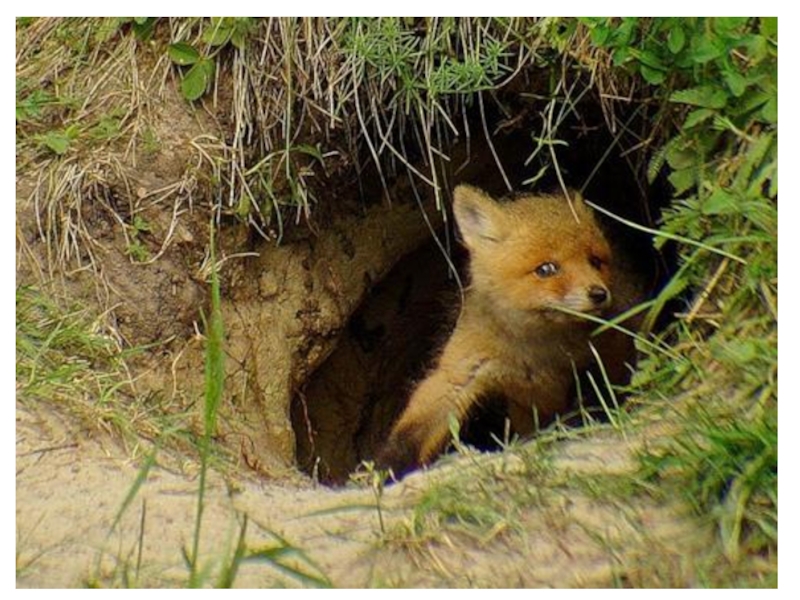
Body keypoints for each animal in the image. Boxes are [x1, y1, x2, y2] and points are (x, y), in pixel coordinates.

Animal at [376, 184, 645, 478]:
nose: (599, 294)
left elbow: (609, 388)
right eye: (546, 269)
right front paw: (384, 471)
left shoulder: (609, 348)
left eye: (595, 261)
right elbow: (413, 433)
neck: (536, 350)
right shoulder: (462, 371)